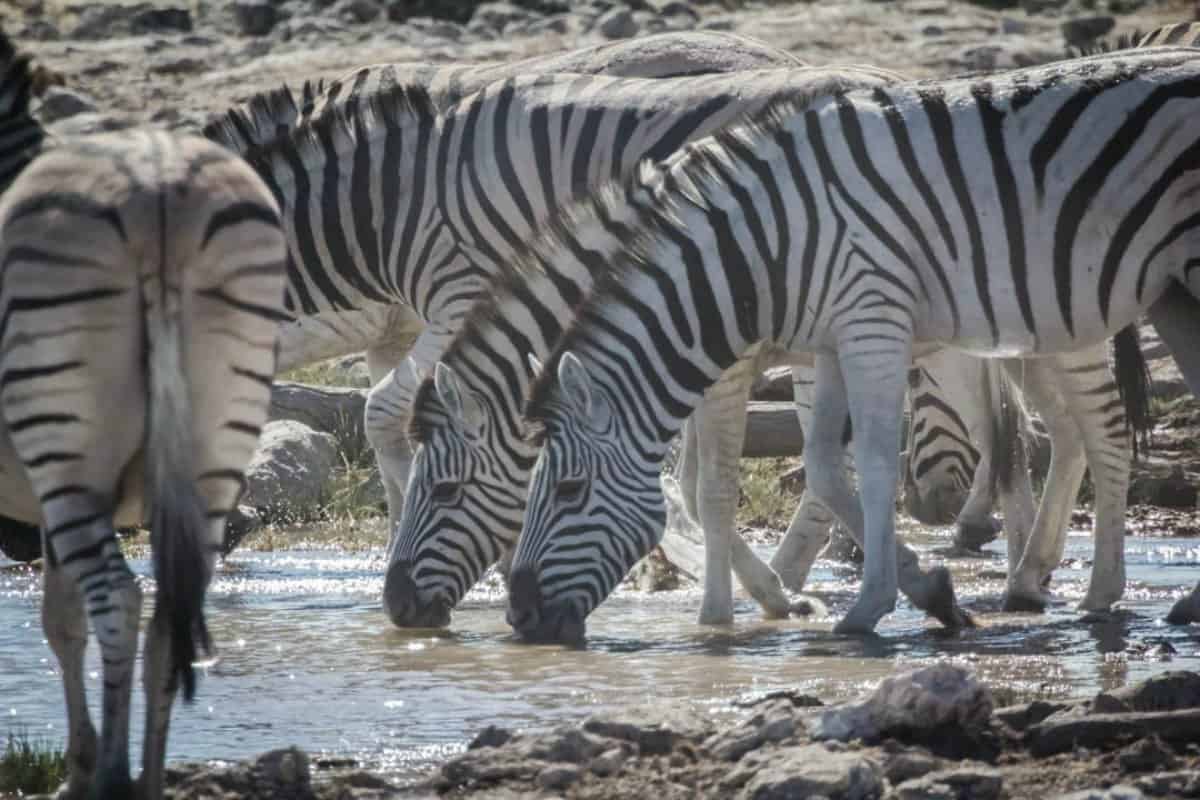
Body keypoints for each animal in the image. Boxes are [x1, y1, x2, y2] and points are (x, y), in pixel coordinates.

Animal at [0, 30, 288, 798]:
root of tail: (157, 183)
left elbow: (60, 620)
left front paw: (78, 768)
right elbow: (58, 615)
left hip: (65, 450)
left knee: (121, 600)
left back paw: (113, 776)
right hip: (219, 444)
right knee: (168, 616)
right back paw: (148, 775)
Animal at [504, 46, 1200, 638]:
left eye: (568, 491)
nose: (518, 615)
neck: (766, 246)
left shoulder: (872, 322)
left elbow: (869, 462)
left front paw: (868, 605)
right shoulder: (837, 341)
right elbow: (823, 465)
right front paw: (931, 592)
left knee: (1099, 429)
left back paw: (1100, 592)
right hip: (1166, 292)